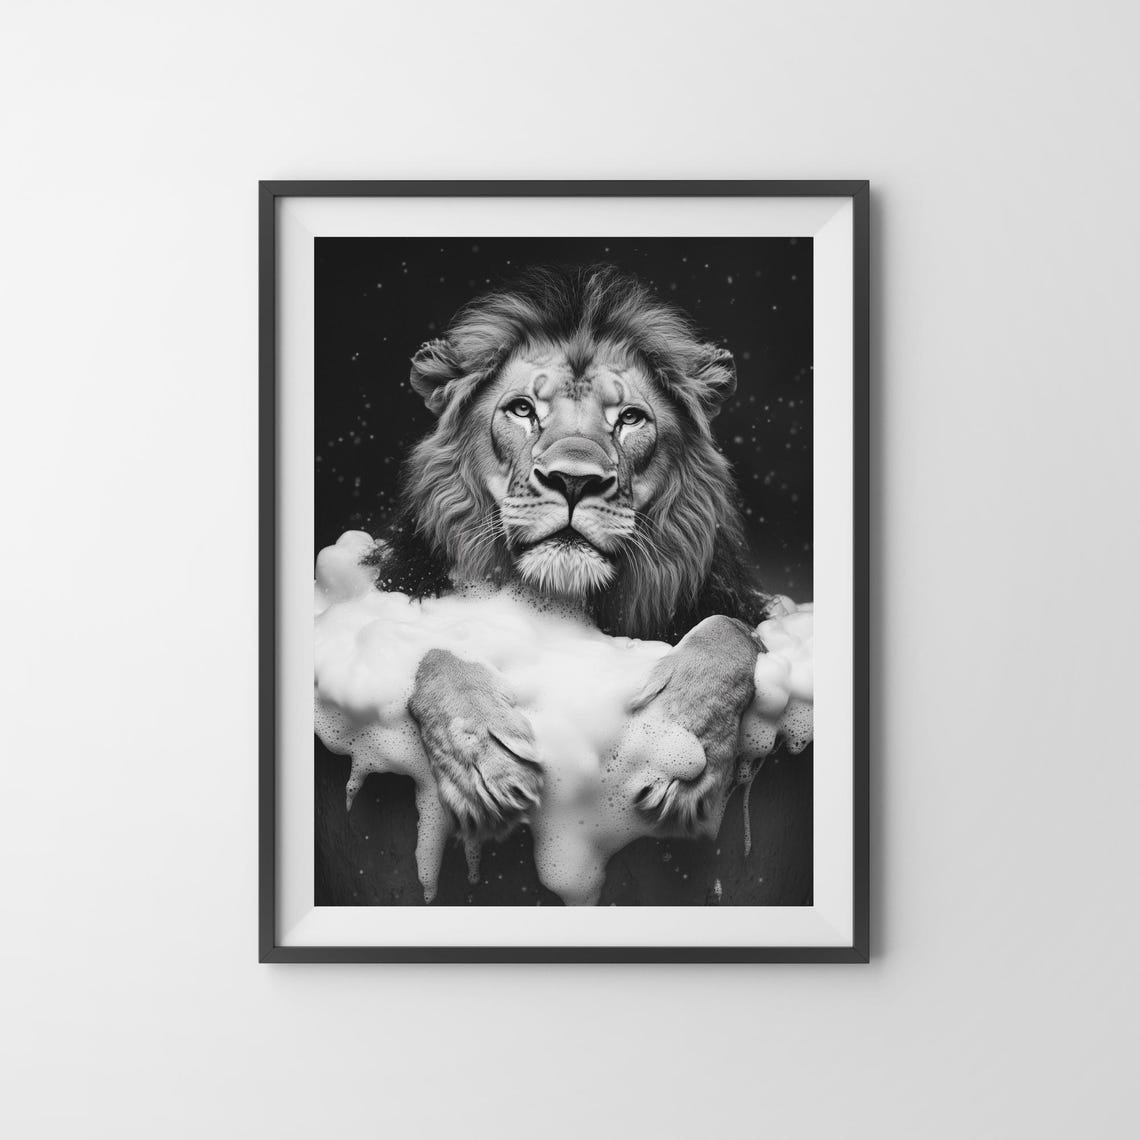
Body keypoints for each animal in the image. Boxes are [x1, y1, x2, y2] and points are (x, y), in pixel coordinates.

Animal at [366, 265, 772, 844]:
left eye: (630, 418)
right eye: (522, 410)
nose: (574, 480)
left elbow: (729, 630)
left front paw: (678, 743)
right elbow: (431, 650)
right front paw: (488, 764)